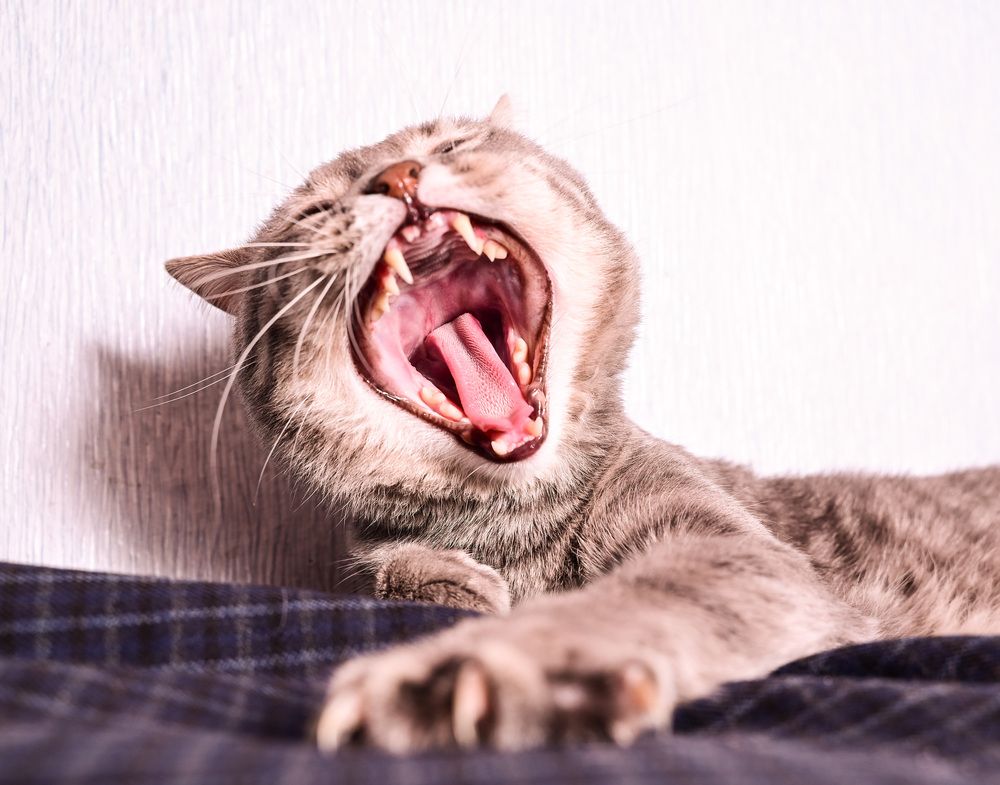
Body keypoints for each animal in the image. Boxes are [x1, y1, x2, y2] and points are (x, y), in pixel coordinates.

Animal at [165, 96, 1000, 753]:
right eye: (313, 214)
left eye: (452, 144)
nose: (395, 176)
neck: (509, 520)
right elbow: (385, 572)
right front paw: (442, 578)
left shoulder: (736, 551)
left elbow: (631, 599)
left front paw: (471, 669)